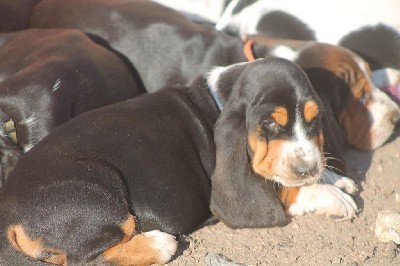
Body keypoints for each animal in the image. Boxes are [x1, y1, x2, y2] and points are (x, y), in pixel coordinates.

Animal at [0, 58, 356, 266]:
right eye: (268, 124)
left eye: (313, 119)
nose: (307, 169)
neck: (219, 98)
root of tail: (10, 218)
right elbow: (283, 191)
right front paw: (333, 196)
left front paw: (333, 177)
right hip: (99, 193)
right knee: (86, 260)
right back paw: (160, 244)